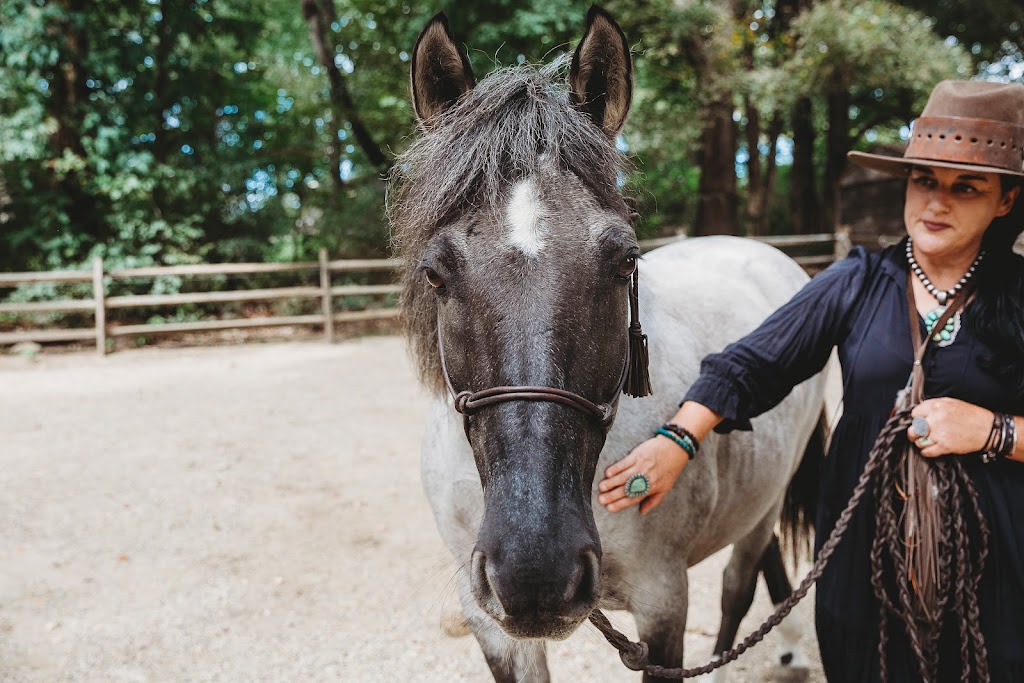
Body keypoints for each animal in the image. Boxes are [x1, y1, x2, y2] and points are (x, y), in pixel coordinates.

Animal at [387, 7, 827, 679]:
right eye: (435, 273)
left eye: (624, 262)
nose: (535, 573)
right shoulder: (491, 621)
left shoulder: (663, 602)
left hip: (767, 500)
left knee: (739, 584)